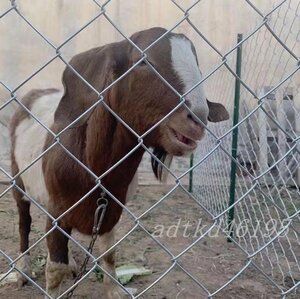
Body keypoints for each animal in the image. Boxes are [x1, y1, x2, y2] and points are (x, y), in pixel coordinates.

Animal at [9, 27, 230, 298]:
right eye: (144, 62)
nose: (197, 119)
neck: (93, 169)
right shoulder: (56, 210)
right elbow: (54, 268)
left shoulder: (109, 210)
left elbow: (109, 253)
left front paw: (115, 290)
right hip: (18, 178)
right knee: (24, 222)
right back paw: (22, 271)